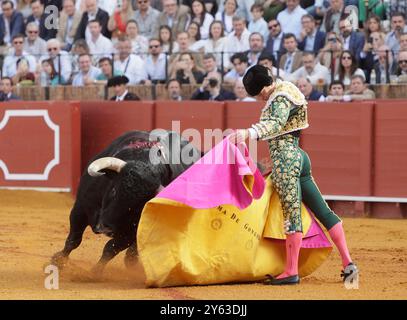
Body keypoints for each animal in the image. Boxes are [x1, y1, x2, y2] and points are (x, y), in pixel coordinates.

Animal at [52, 129, 202, 274]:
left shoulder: (130, 233)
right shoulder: (80, 209)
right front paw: (58, 261)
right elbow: (73, 239)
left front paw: (94, 273)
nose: (105, 228)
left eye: (139, 205)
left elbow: (110, 249)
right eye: (114, 190)